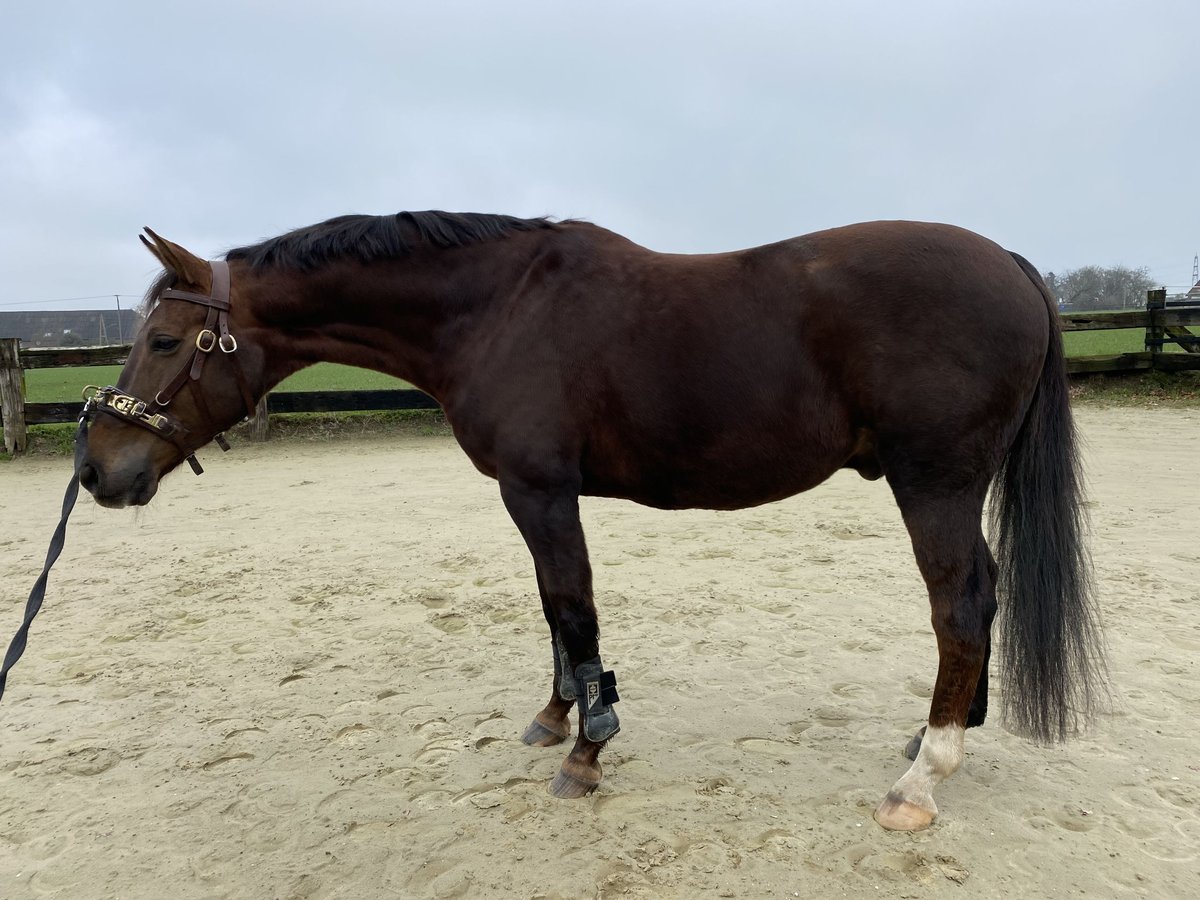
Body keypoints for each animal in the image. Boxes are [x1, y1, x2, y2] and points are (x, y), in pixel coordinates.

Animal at [77, 211, 1104, 830]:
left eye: (164, 341)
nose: (96, 472)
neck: (499, 308)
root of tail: (1013, 265)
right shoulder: (533, 496)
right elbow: (551, 611)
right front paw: (555, 714)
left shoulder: (539, 492)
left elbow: (574, 610)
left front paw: (586, 751)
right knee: (984, 593)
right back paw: (940, 733)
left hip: (932, 484)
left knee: (959, 606)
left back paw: (923, 778)